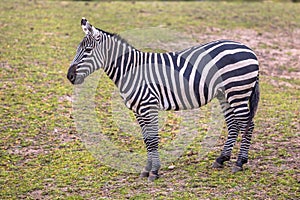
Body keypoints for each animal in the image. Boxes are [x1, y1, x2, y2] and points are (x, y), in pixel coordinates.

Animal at [67, 18, 258, 181]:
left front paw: (154, 171)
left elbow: (152, 139)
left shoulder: (148, 106)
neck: (131, 70)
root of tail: (248, 48)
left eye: (88, 51)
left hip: (238, 91)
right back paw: (221, 159)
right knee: (234, 124)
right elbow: (146, 139)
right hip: (224, 94)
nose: (69, 76)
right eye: (77, 49)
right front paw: (147, 169)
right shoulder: (138, 110)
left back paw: (240, 162)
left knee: (247, 124)